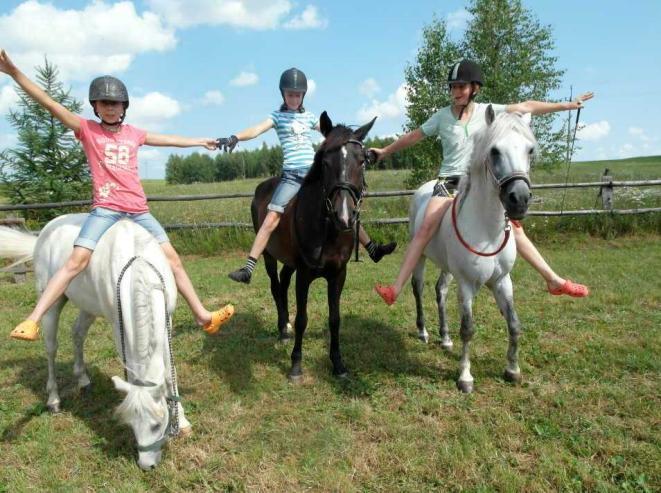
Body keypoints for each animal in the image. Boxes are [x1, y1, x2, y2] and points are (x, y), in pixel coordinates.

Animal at [0, 215, 191, 468]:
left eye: (157, 424)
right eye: (131, 425)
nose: (146, 465)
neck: (138, 265)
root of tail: (45, 232)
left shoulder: (166, 320)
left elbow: (170, 373)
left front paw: (184, 422)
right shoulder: (118, 326)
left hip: (87, 306)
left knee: (77, 333)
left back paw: (83, 380)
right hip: (51, 301)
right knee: (51, 348)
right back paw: (53, 399)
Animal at [251, 112, 376, 380]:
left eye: (362, 161)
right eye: (325, 162)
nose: (344, 216)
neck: (327, 230)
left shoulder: (338, 274)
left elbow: (335, 319)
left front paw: (338, 364)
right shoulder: (305, 275)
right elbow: (302, 319)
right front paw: (296, 365)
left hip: (289, 262)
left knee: (283, 282)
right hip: (268, 255)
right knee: (275, 286)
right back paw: (282, 329)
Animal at [412, 106, 536, 392]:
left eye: (530, 150)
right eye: (495, 151)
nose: (519, 200)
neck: (487, 231)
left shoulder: (502, 281)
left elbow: (514, 324)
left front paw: (513, 370)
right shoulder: (467, 284)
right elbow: (468, 329)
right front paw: (465, 377)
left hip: (447, 268)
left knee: (440, 291)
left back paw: (445, 338)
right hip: (420, 258)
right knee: (418, 289)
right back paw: (423, 332)